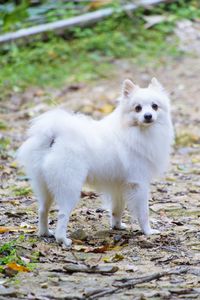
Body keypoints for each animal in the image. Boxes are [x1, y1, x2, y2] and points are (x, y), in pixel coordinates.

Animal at [17, 78, 173, 247]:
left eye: (155, 106)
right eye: (138, 108)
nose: (148, 115)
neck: (136, 131)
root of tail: (55, 137)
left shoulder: (119, 185)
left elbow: (117, 209)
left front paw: (117, 226)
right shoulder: (139, 183)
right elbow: (144, 212)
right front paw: (148, 231)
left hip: (44, 186)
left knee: (42, 210)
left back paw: (45, 233)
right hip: (70, 187)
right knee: (62, 215)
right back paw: (63, 240)